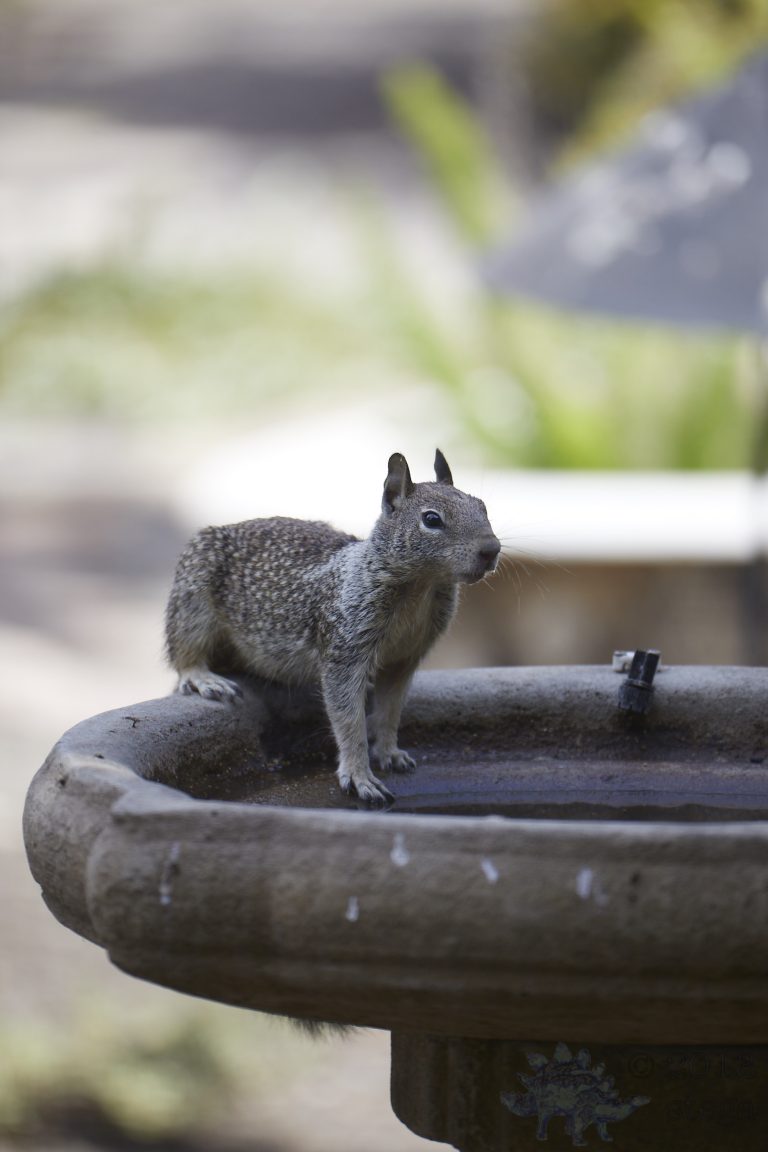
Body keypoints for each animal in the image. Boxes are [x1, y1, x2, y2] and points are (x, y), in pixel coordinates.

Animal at [165, 449, 500, 804]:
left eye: (482, 506)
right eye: (432, 520)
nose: (491, 550)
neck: (420, 588)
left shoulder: (404, 659)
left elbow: (390, 710)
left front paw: (389, 752)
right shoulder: (345, 647)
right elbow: (349, 719)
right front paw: (360, 776)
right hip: (193, 600)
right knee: (184, 653)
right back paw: (203, 678)